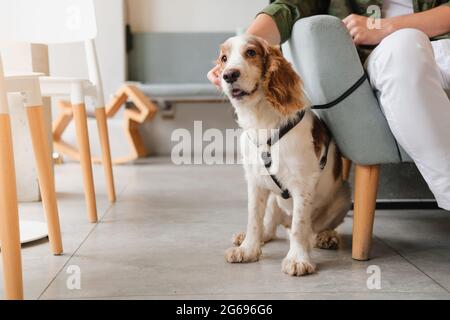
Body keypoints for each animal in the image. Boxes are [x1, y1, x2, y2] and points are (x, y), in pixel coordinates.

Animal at [218, 34, 352, 276]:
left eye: (251, 52)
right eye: (224, 58)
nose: (229, 74)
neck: (262, 120)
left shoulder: (302, 184)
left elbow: (299, 226)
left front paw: (298, 259)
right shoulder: (255, 181)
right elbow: (254, 218)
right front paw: (248, 249)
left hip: (344, 195)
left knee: (315, 227)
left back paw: (326, 236)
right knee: (270, 226)